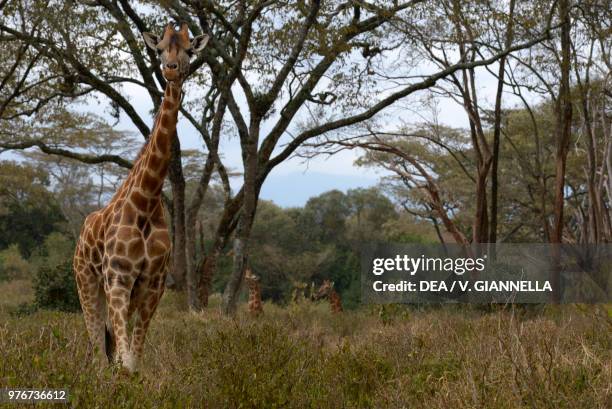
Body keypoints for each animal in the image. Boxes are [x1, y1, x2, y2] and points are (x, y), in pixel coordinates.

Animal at [72, 22, 208, 372]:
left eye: (189, 50)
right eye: (159, 49)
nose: (171, 69)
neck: (146, 200)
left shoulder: (152, 283)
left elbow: (134, 358)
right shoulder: (118, 277)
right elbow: (125, 359)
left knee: (106, 344)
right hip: (86, 281)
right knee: (97, 346)